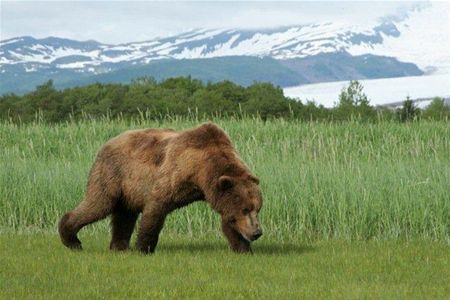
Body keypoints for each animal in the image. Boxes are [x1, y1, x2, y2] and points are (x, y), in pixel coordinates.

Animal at [59, 122, 264, 253]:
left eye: (257, 208)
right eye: (245, 209)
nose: (257, 232)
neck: (201, 172)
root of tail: (107, 142)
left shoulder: (217, 191)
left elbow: (228, 219)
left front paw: (243, 248)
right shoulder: (174, 173)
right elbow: (156, 207)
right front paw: (143, 248)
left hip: (128, 189)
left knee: (124, 215)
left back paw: (119, 246)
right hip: (112, 174)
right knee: (99, 204)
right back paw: (72, 240)